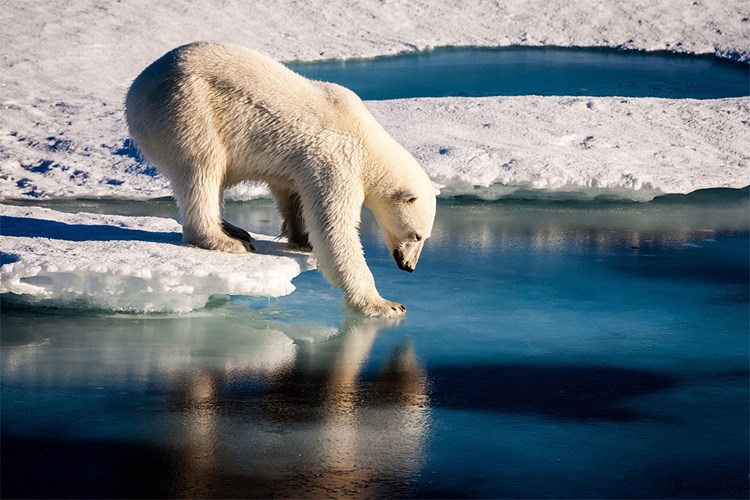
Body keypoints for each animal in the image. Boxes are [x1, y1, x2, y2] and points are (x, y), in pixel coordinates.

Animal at [125, 42, 438, 316]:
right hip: (187, 110)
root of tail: (136, 89)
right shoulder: (337, 160)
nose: (408, 266)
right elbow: (334, 227)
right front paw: (385, 304)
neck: (366, 139)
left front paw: (302, 239)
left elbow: (292, 194)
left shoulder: (300, 163)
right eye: (416, 235)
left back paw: (234, 229)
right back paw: (225, 240)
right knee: (202, 169)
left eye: (424, 236)